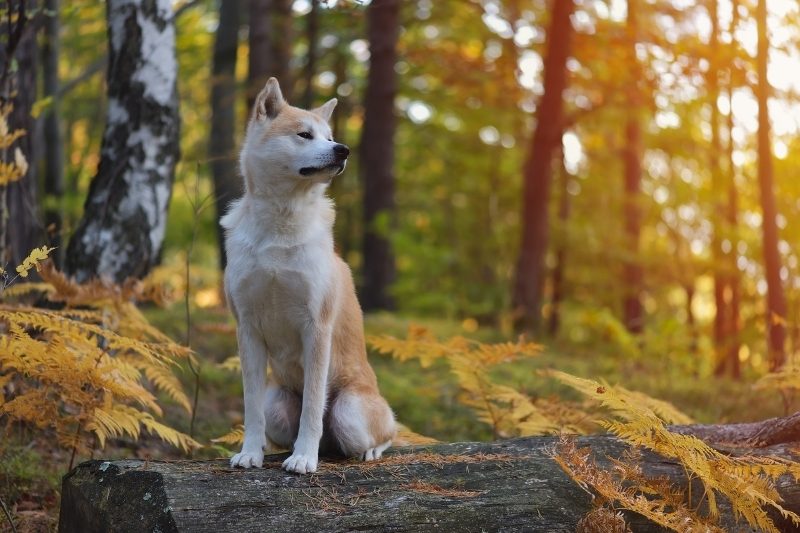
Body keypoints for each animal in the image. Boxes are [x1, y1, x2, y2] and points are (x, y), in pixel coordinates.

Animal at [222, 77, 396, 472]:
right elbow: (250, 407)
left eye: (330, 137)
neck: (280, 224)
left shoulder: (316, 327)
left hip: (349, 411)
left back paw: (366, 450)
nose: (343, 150)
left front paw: (304, 457)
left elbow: (314, 407)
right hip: (277, 405)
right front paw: (250, 452)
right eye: (304, 134)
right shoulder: (247, 328)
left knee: (386, 433)